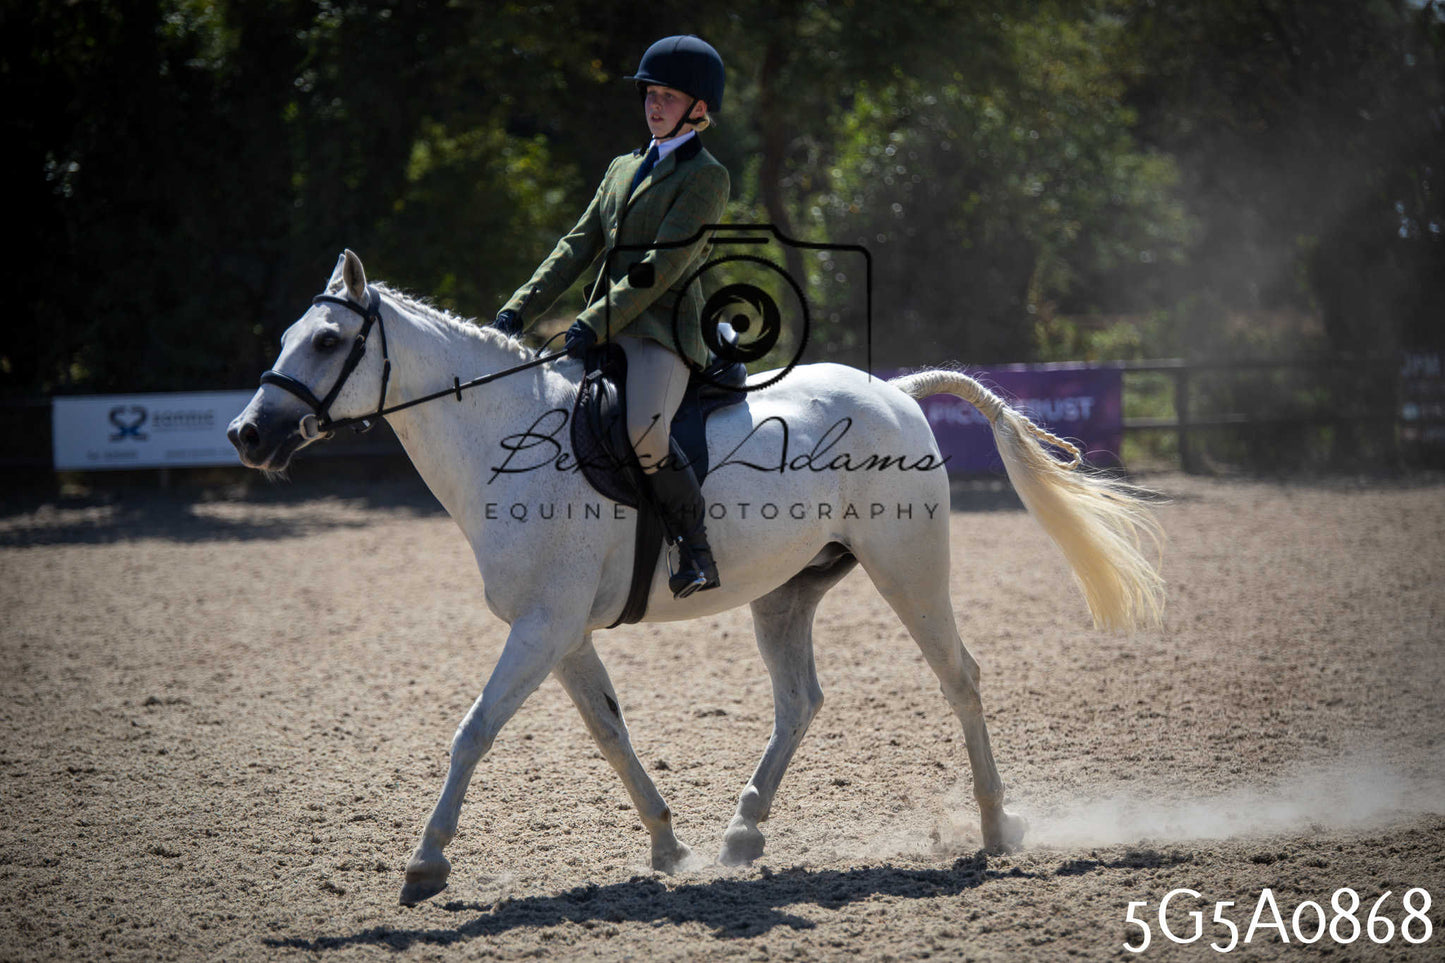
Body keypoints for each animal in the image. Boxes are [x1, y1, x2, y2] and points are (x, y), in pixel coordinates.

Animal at [228, 250, 1164, 906]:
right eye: (283, 339)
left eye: (325, 341)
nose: (247, 434)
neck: (503, 435)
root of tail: (894, 391)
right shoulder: (559, 633)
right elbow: (609, 731)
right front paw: (667, 844)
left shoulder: (540, 628)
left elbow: (473, 729)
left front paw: (426, 861)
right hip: (787, 593)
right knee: (800, 700)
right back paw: (743, 832)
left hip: (909, 569)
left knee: (959, 677)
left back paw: (998, 824)